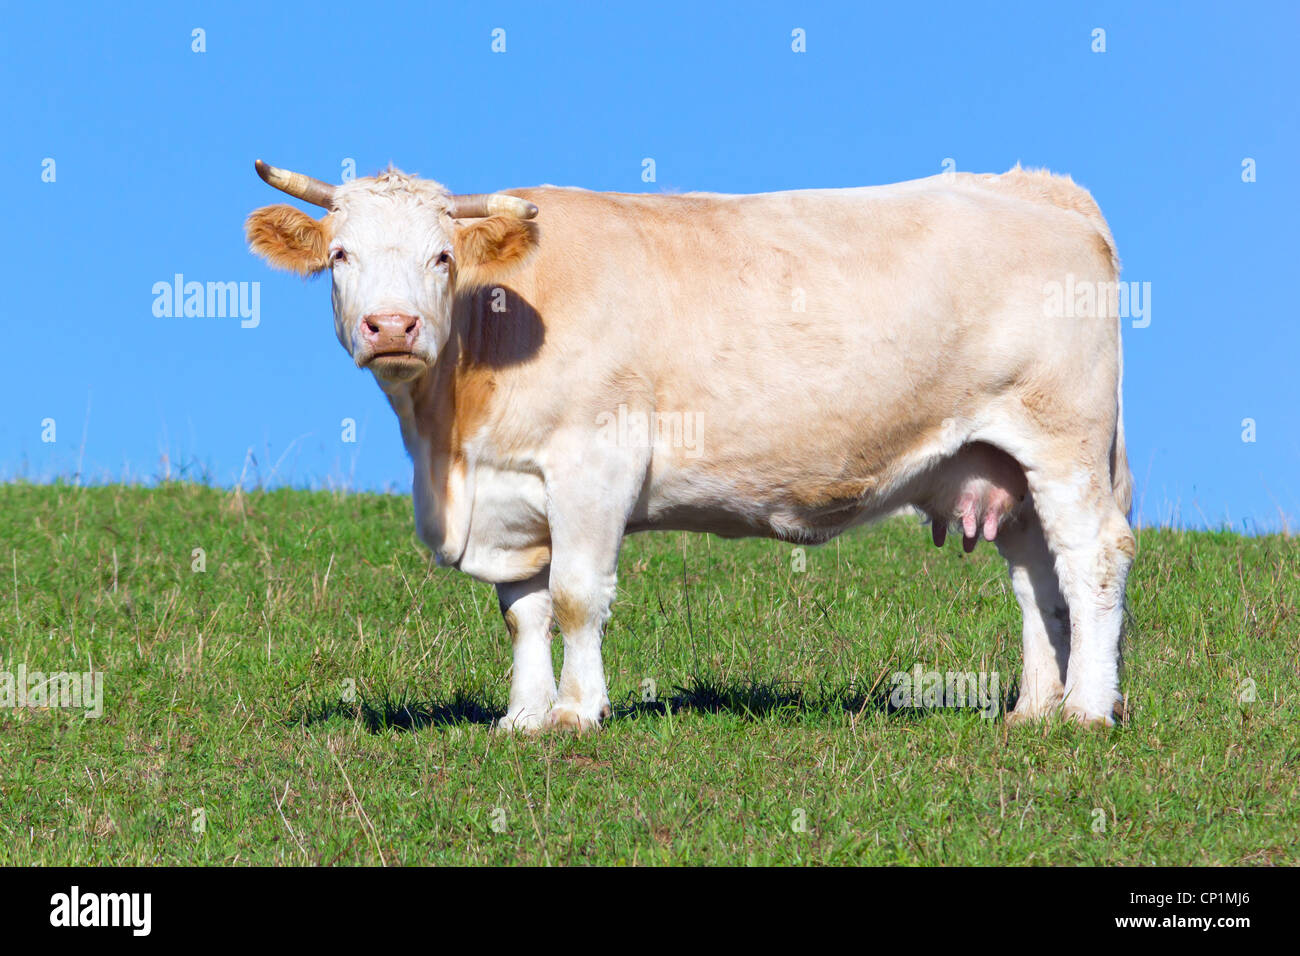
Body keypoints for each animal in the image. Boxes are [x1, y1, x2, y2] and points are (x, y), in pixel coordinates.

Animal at [245, 158, 1138, 733]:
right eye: (340, 255)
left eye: (440, 257)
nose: (391, 326)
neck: (451, 446)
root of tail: (1038, 188)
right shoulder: (513, 493)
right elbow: (524, 610)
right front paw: (522, 716)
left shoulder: (593, 461)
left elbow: (575, 595)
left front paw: (575, 713)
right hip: (1000, 462)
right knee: (1036, 577)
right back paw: (1033, 709)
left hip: (1064, 438)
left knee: (1091, 557)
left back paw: (1087, 712)